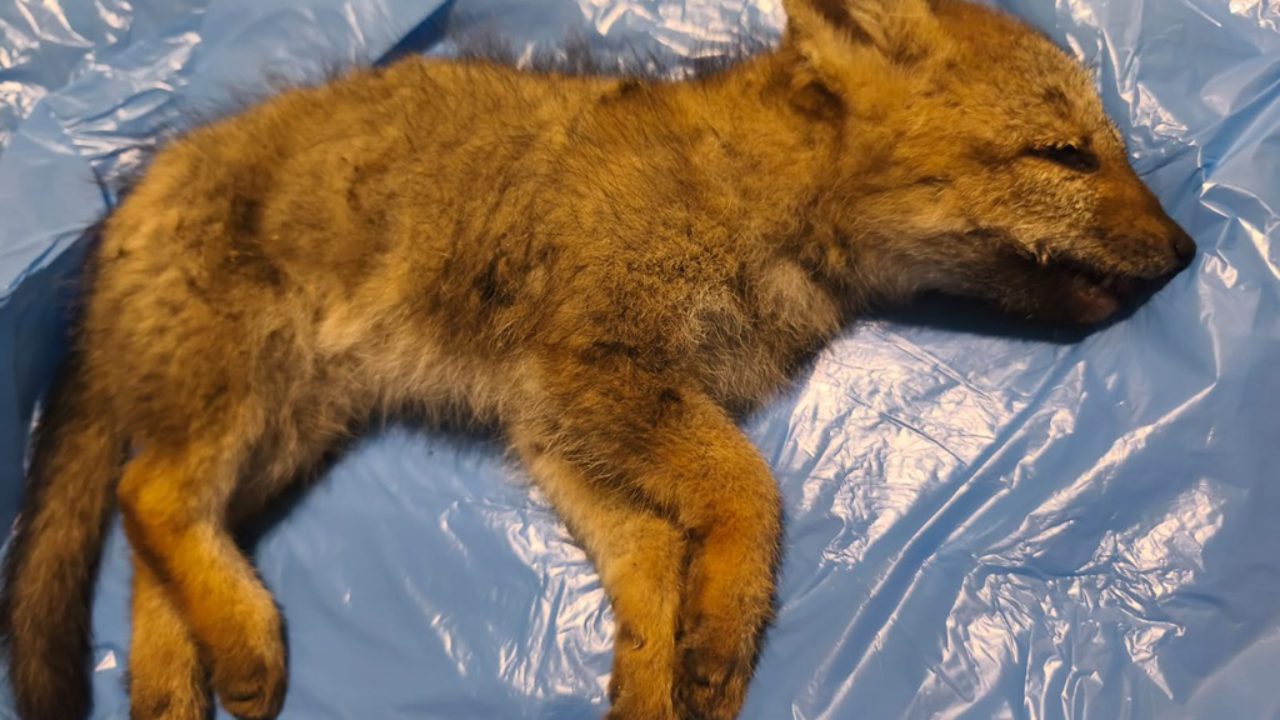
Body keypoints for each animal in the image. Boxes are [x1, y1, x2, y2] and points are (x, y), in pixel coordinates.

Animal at [0, 0, 1197, 718]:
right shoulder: (597, 378)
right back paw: (242, 642)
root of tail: (128, 195)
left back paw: (186, 680)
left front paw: (657, 674)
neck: (753, 200)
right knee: (148, 497)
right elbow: (751, 496)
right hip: (244, 412)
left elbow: (651, 557)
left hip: (283, 438)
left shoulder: (560, 425)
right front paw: (718, 638)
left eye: (1117, 150)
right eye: (1063, 155)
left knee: (149, 543)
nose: (1189, 249)